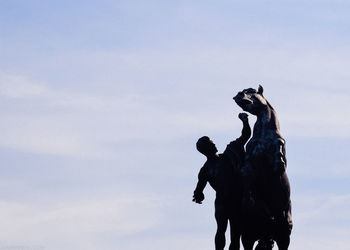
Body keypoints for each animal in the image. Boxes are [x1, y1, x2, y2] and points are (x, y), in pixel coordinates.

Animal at [234, 86, 294, 250]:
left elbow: (279, 150)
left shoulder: (278, 150)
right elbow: (246, 174)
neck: (263, 135)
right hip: (248, 236)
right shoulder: (249, 162)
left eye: (252, 91)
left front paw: (279, 159)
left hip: (284, 234)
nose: (238, 95)